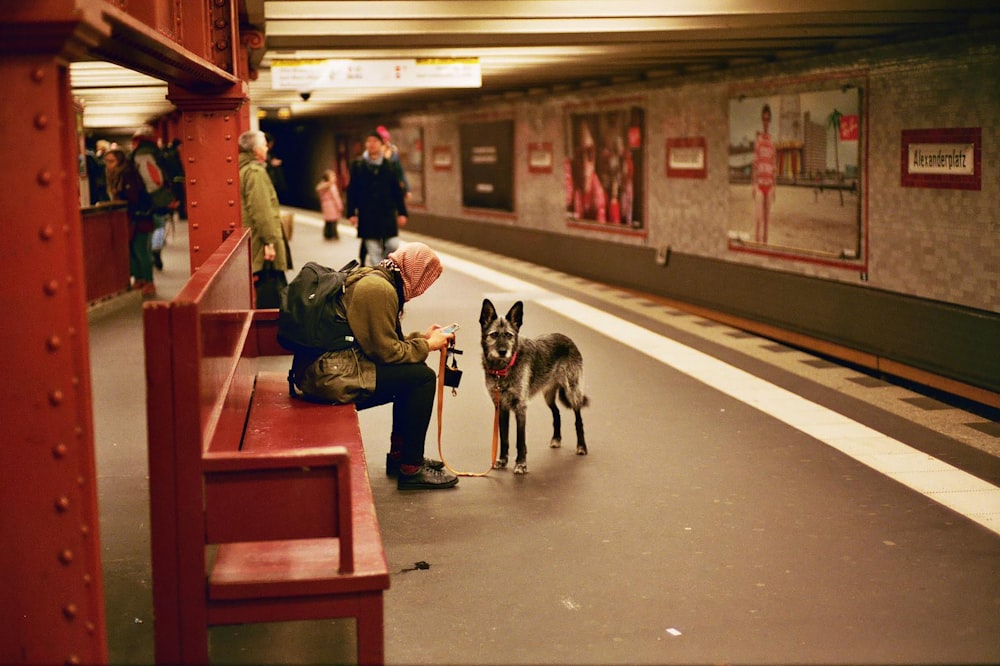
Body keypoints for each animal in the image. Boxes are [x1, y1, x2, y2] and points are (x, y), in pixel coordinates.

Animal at [476, 296, 584, 472]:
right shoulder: (501, 407)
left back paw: (582, 447)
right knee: (556, 413)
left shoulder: (520, 408)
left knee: (578, 419)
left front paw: (521, 464)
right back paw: (556, 439)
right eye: (494, 334)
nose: (502, 351)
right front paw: (502, 460)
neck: (503, 369)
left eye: (509, 335)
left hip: (572, 392)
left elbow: (520, 440)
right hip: (548, 396)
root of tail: (566, 338)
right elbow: (504, 438)